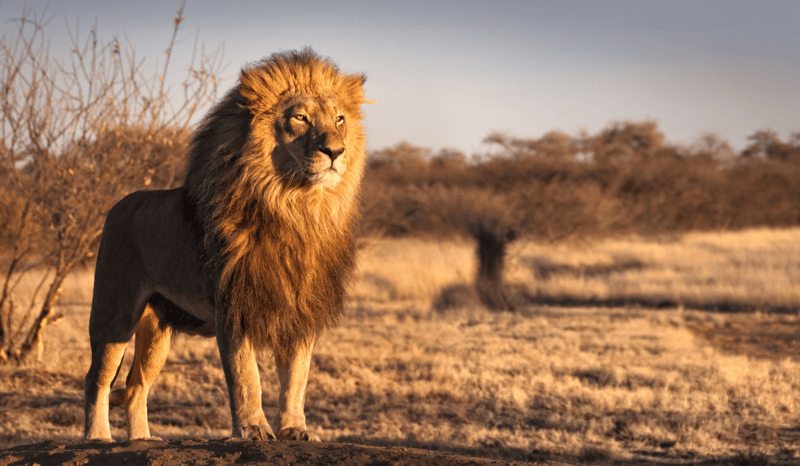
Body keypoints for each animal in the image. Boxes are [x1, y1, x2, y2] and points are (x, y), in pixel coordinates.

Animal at [84, 49, 369, 442]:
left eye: (340, 119)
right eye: (300, 118)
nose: (335, 151)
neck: (296, 208)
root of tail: (118, 204)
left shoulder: (300, 308)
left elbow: (297, 378)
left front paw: (295, 429)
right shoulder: (233, 304)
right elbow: (245, 376)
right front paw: (252, 429)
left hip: (157, 329)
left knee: (136, 384)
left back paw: (142, 439)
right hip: (115, 312)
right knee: (96, 378)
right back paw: (97, 437)